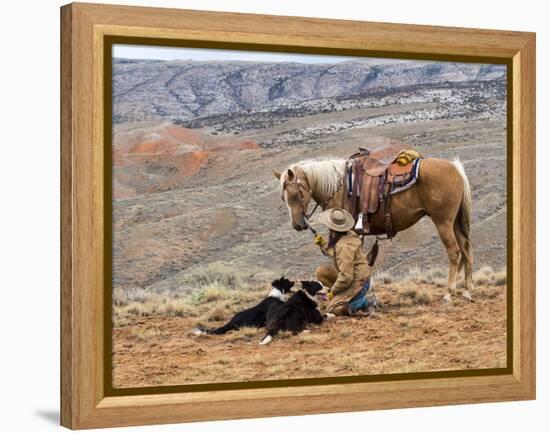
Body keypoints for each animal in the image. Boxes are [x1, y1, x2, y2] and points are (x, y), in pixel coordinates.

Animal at [274, 157, 474, 302]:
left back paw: (449, 292)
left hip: (443, 222)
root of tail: (455, 168)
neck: (338, 187)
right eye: (282, 198)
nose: (298, 225)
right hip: (455, 222)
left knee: (455, 252)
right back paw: (467, 289)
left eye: (294, 194)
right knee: (466, 249)